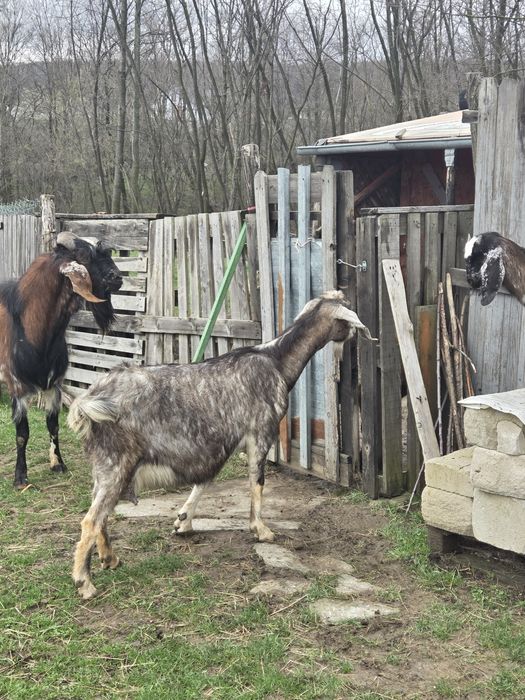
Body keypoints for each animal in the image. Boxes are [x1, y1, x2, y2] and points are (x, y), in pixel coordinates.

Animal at [0, 232, 122, 488]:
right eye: (83, 257)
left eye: (107, 252)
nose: (117, 277)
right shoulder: (17, 385)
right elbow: (22, 433)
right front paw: (20, 477)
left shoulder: (53, 384)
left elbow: (53, 425)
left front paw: (58, 464)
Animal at [68, 290, 375, 599]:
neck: (276, 360)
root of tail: (87, 400)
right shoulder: (260, 432)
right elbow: (257, 482)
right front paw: (260, 530)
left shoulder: (219, 444)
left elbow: (204, 481)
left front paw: (183, 521)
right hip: (117, 463)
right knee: (91, 520)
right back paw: (84, 582)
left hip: (105, 467)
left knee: (101, 514)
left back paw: (110, 558)